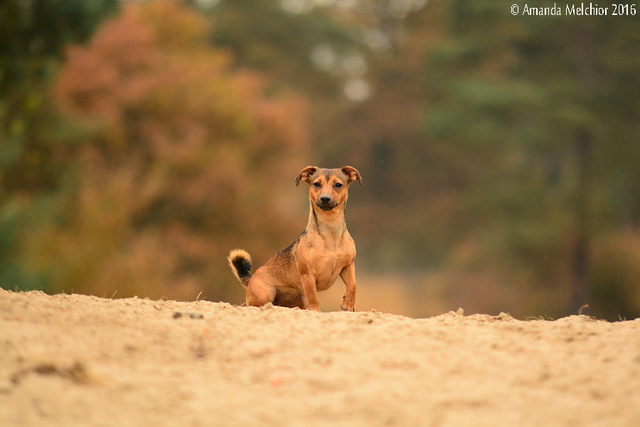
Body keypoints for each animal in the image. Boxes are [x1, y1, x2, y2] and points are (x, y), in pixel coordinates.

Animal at [229, 166, 360, 312]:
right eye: (317, 184)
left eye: (338, 185)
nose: (325, 198)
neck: (330, 230)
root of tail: (250, 280)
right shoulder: (308, 275)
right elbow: (314, 297)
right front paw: (316, 311)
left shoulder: (348, 265)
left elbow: (353, 284)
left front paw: (348, 304)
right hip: (265, 294)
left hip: (300, 299)